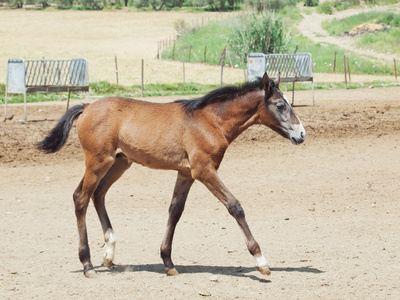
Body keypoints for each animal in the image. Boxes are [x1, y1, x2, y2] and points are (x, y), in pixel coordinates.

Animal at [37, 72, 306, 276]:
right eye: (280, 105)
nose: (301, 134)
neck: (210, 121)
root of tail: (86, 107)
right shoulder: (204, 170)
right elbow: (234, 206)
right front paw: (261, 261)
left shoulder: (186, 174)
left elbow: (175, 211)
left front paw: (168, 262)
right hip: (98, 161)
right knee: (81, 197)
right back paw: (88, 264)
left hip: (119, 162)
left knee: (98, 194)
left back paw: (109, 254)